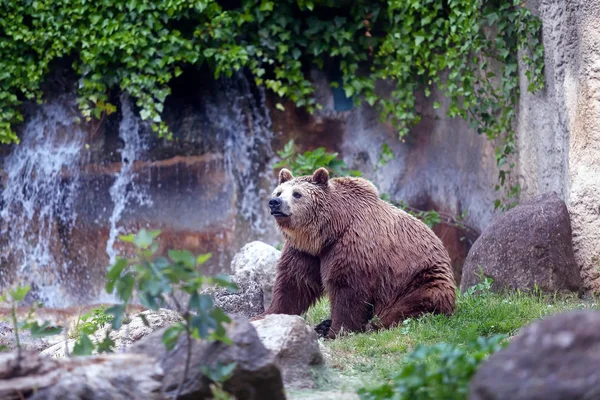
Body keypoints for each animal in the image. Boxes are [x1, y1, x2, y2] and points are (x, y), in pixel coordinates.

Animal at [252, 167, 454, 340]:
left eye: (297, 194)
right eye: (279, 192)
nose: (275, 203)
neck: (329, 231)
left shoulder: (353, 245)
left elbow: (348, 288)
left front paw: (337, 332)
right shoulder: (306, 252)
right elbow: (293, 283)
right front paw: (264, 315)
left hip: (419, 278)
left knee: (414, 304)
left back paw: (371, 325)